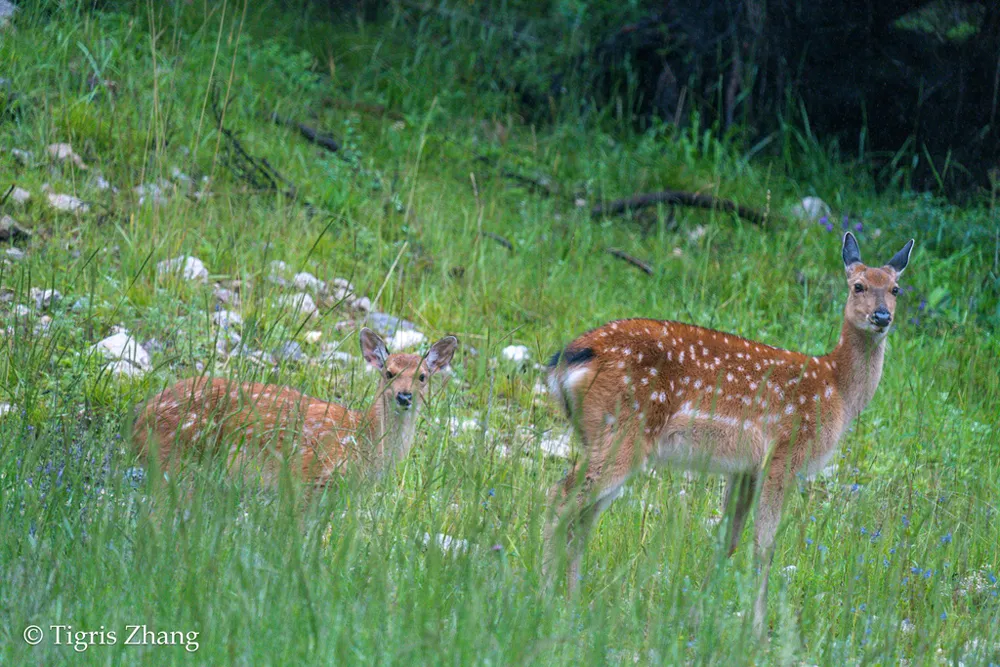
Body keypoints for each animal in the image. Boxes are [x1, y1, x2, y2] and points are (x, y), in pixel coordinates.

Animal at [135, 328, 458, 486]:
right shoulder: (311, 472)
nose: (404, 396)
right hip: (178, 455)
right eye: (388, 372)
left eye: (422, 376)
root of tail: (138, 420)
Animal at [548, 234, 916, 636]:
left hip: (602, 436)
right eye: (858, 285)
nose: (882, 316)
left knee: (582, 518)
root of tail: (569, 359)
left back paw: (572, 603)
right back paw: (542, 593)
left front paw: (694, 617)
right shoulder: (785, 452)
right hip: (623, 431)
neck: (836, 389)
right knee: (561, 497)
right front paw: (756, 631)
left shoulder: (745, 468)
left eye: (895, 288)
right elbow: (764, 545)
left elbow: (728, 538)